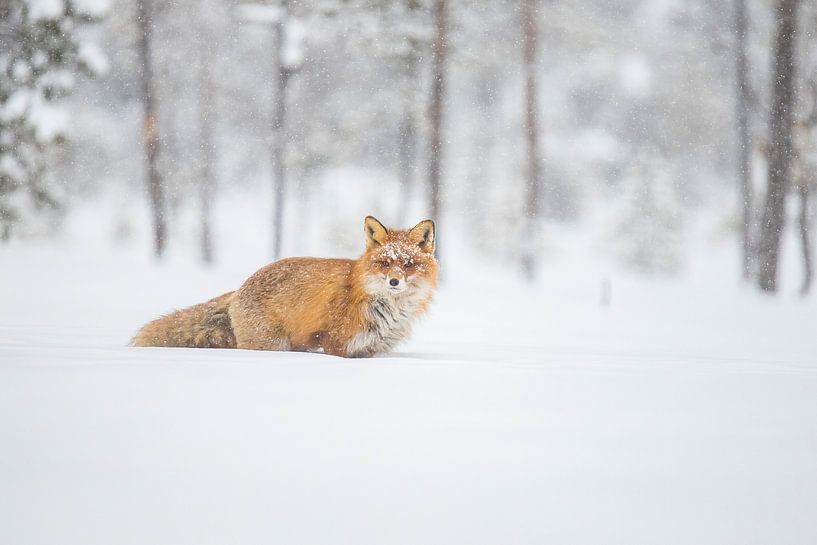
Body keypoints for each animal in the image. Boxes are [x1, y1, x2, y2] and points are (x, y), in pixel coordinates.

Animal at [132, 215, 440, 360]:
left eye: (408, 264)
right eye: (385, 263)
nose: (394, 281)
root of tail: (240, 288)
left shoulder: (369, 350)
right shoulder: (336, 343)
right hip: (272, 344)